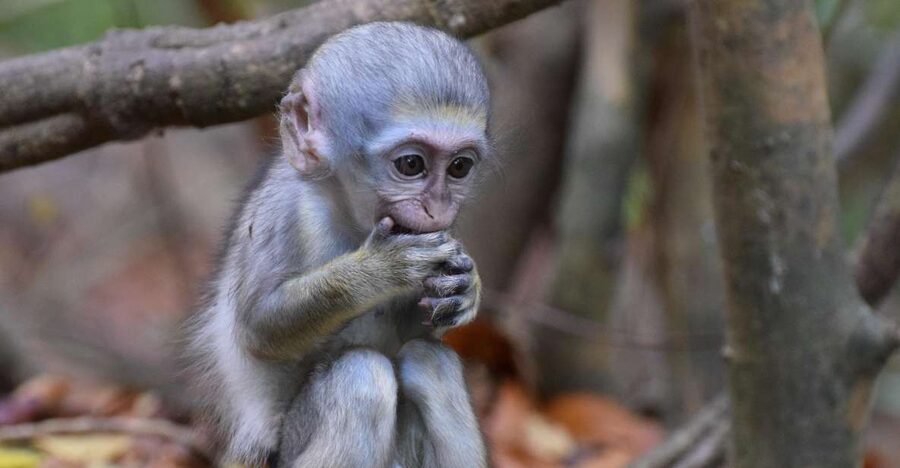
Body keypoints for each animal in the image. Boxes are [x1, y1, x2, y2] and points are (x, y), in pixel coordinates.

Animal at [185, 22, 492, 467]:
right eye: (411, 165)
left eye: (459, 167)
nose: (436, 208)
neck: (347, 217)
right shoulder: (288, 213)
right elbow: (259, 329)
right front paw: (379, 270)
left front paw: (467, 287)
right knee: (361, 377)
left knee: (430, 364)